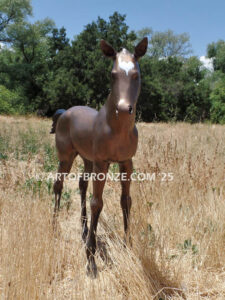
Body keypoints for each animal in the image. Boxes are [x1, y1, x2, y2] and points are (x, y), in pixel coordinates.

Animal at [50, 37, 148, 276]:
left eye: (136, 75)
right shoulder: (102, 164)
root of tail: (64, 112)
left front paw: (127, 245)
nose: (123, 108)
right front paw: (91, 260)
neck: (117, 130)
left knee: (82, 184)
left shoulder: (126, 163)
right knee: (58, 185)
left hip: (87, 159)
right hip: (66, 157)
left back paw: (84, 229)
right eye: (112, 74)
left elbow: (126, 200)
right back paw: (55, 225)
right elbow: (97, 203)